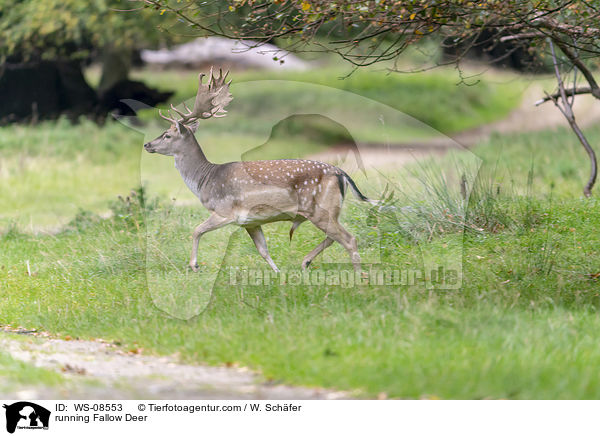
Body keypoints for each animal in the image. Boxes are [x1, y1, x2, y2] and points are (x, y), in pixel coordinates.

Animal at [144, 67, 376, 272]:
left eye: (167, 135)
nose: (147, 144)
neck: (205, 180)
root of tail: (341, 174)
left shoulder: (225, 211)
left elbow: (196, 230)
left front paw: (194, 265)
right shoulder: (250, 222)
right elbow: (263, 250)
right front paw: (278, 274)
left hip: (321, 209)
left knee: (349, 239)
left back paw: (358, 278)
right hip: (329, 210)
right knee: (333, 237)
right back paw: (305, 262)